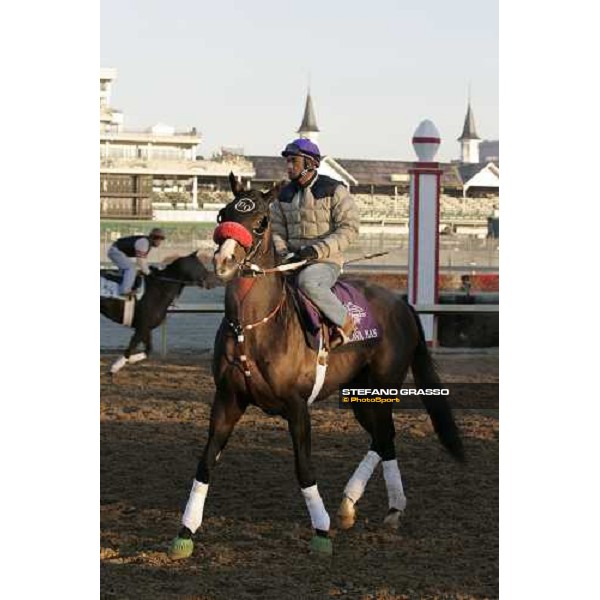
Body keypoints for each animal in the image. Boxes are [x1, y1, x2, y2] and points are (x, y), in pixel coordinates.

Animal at [169, 176, 464, 560]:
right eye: (223, 214)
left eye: (261, 221)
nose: (223, 260)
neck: (254, 328)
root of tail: (402, 304)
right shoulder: (227, 399)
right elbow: (205, 463)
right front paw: (185, 531)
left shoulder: (297, 407)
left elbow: (304, 467)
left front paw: (320, 531)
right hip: (358, 395)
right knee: (382, 437)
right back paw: (353, 506)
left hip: (382, 388)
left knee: (385, 435)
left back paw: (387, 507)